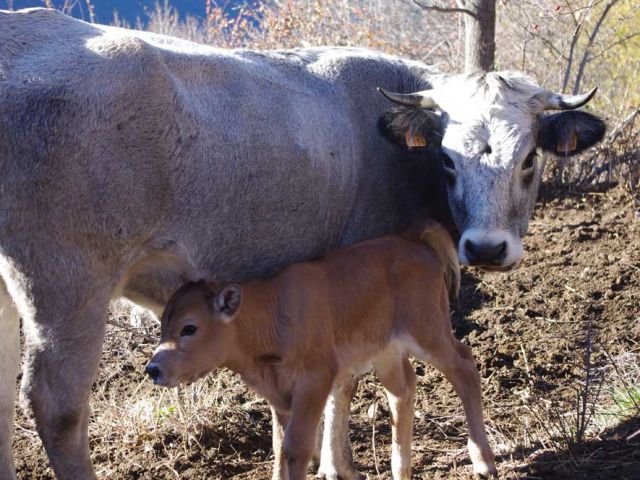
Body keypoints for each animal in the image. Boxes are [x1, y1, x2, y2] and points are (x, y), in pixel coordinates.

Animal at [148, 223, 498, 478]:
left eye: (189, 328)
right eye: (163, 326)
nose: (153, 369)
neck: (272, 313)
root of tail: (412, 241)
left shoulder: (314, 381)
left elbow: (298, 447)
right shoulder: (281, 397)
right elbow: (279, 447)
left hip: (429, 330)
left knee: (464, 367)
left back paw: (484, 462)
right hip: (386, 349)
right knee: (402, 390)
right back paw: (401, 469)